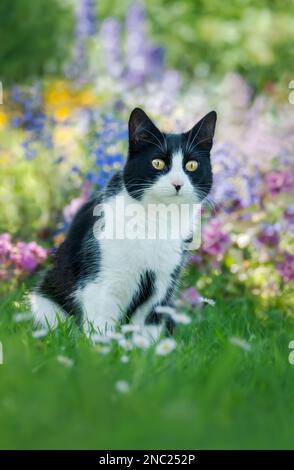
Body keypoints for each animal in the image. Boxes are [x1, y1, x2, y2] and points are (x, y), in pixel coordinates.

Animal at [30, 108, 216, 340]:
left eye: (192, 165)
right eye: (157, 163)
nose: (177, 184)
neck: (157, 220)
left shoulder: (162, 286)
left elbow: (148, 327)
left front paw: (143, 348)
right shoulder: (100, 281)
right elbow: (100, 325)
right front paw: (102, 347)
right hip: (45, 301)